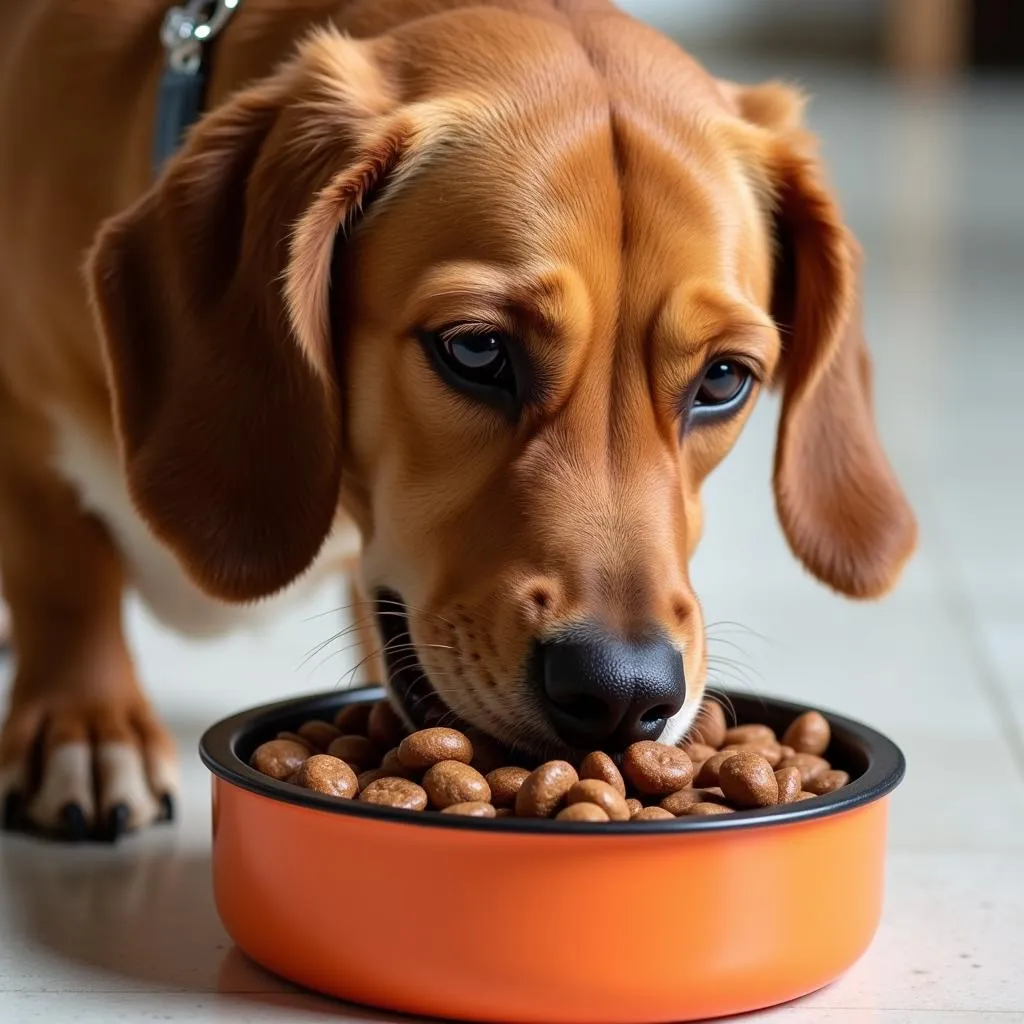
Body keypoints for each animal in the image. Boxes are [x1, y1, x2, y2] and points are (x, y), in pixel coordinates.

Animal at [0, 2, 917, 839]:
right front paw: (87, 725)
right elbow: (65, 578)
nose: (623, 693)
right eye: (476, 350)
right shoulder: (24, 434)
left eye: (724, 378)